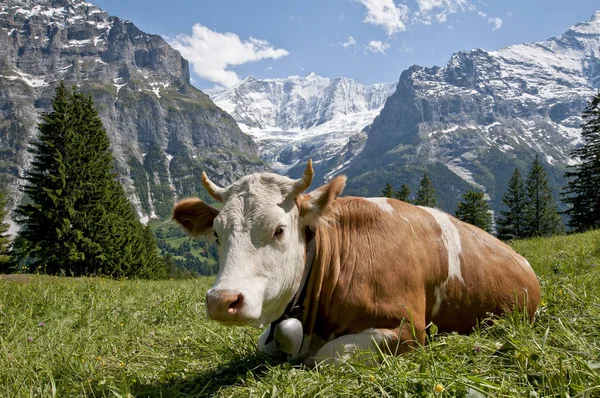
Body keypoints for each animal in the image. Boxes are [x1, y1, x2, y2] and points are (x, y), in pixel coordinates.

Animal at [171, 160, 540, 366]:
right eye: (217, 234)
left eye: (279, 229)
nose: (222, 301)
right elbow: (265, 345)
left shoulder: (407, 329)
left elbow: (325, 357)